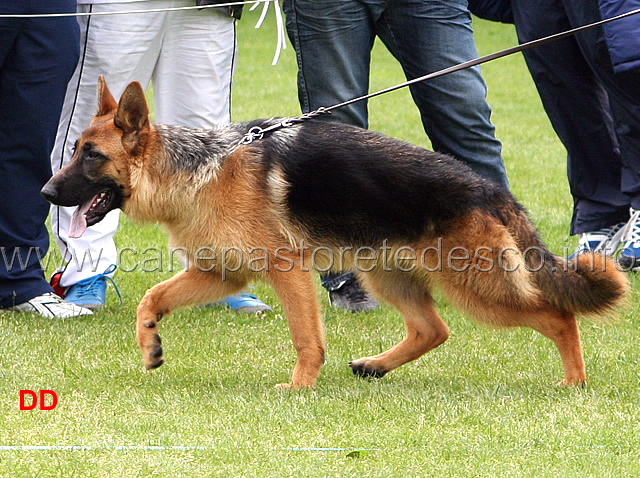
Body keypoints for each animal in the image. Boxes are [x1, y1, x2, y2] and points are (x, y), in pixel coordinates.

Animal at [42, 77, 628, 388]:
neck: (199, 168)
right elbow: (152, 297)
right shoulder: (219, 274)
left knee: (557, 316)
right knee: (433, 330)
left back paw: (574, 382)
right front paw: (150, 346)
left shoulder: (287, 272)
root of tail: (489, 190)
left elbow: (306, 337)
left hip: (478, 289)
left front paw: (300, 387)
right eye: (75, 150)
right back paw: (375, 365)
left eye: (92, 156)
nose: (46, 193)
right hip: (388, 277)